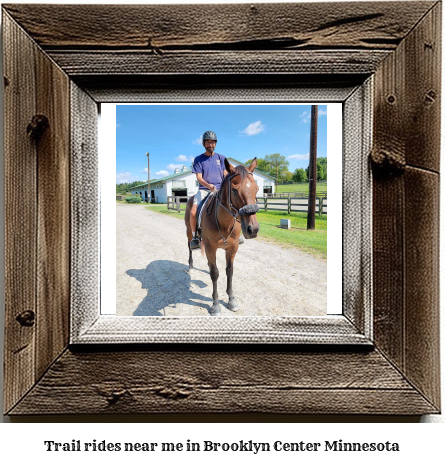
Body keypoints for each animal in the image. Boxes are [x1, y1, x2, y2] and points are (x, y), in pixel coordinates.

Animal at [184, 158, 260, 314]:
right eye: (234, 190)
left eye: (256, 189)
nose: (253, 229)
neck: (223, 222)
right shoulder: (210, 248)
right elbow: (215, 273)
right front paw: (215, 304)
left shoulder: (232, 248)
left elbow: (229, 272)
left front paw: (231, 300)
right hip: (189, 232)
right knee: (189, 247)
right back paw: (191, 266)